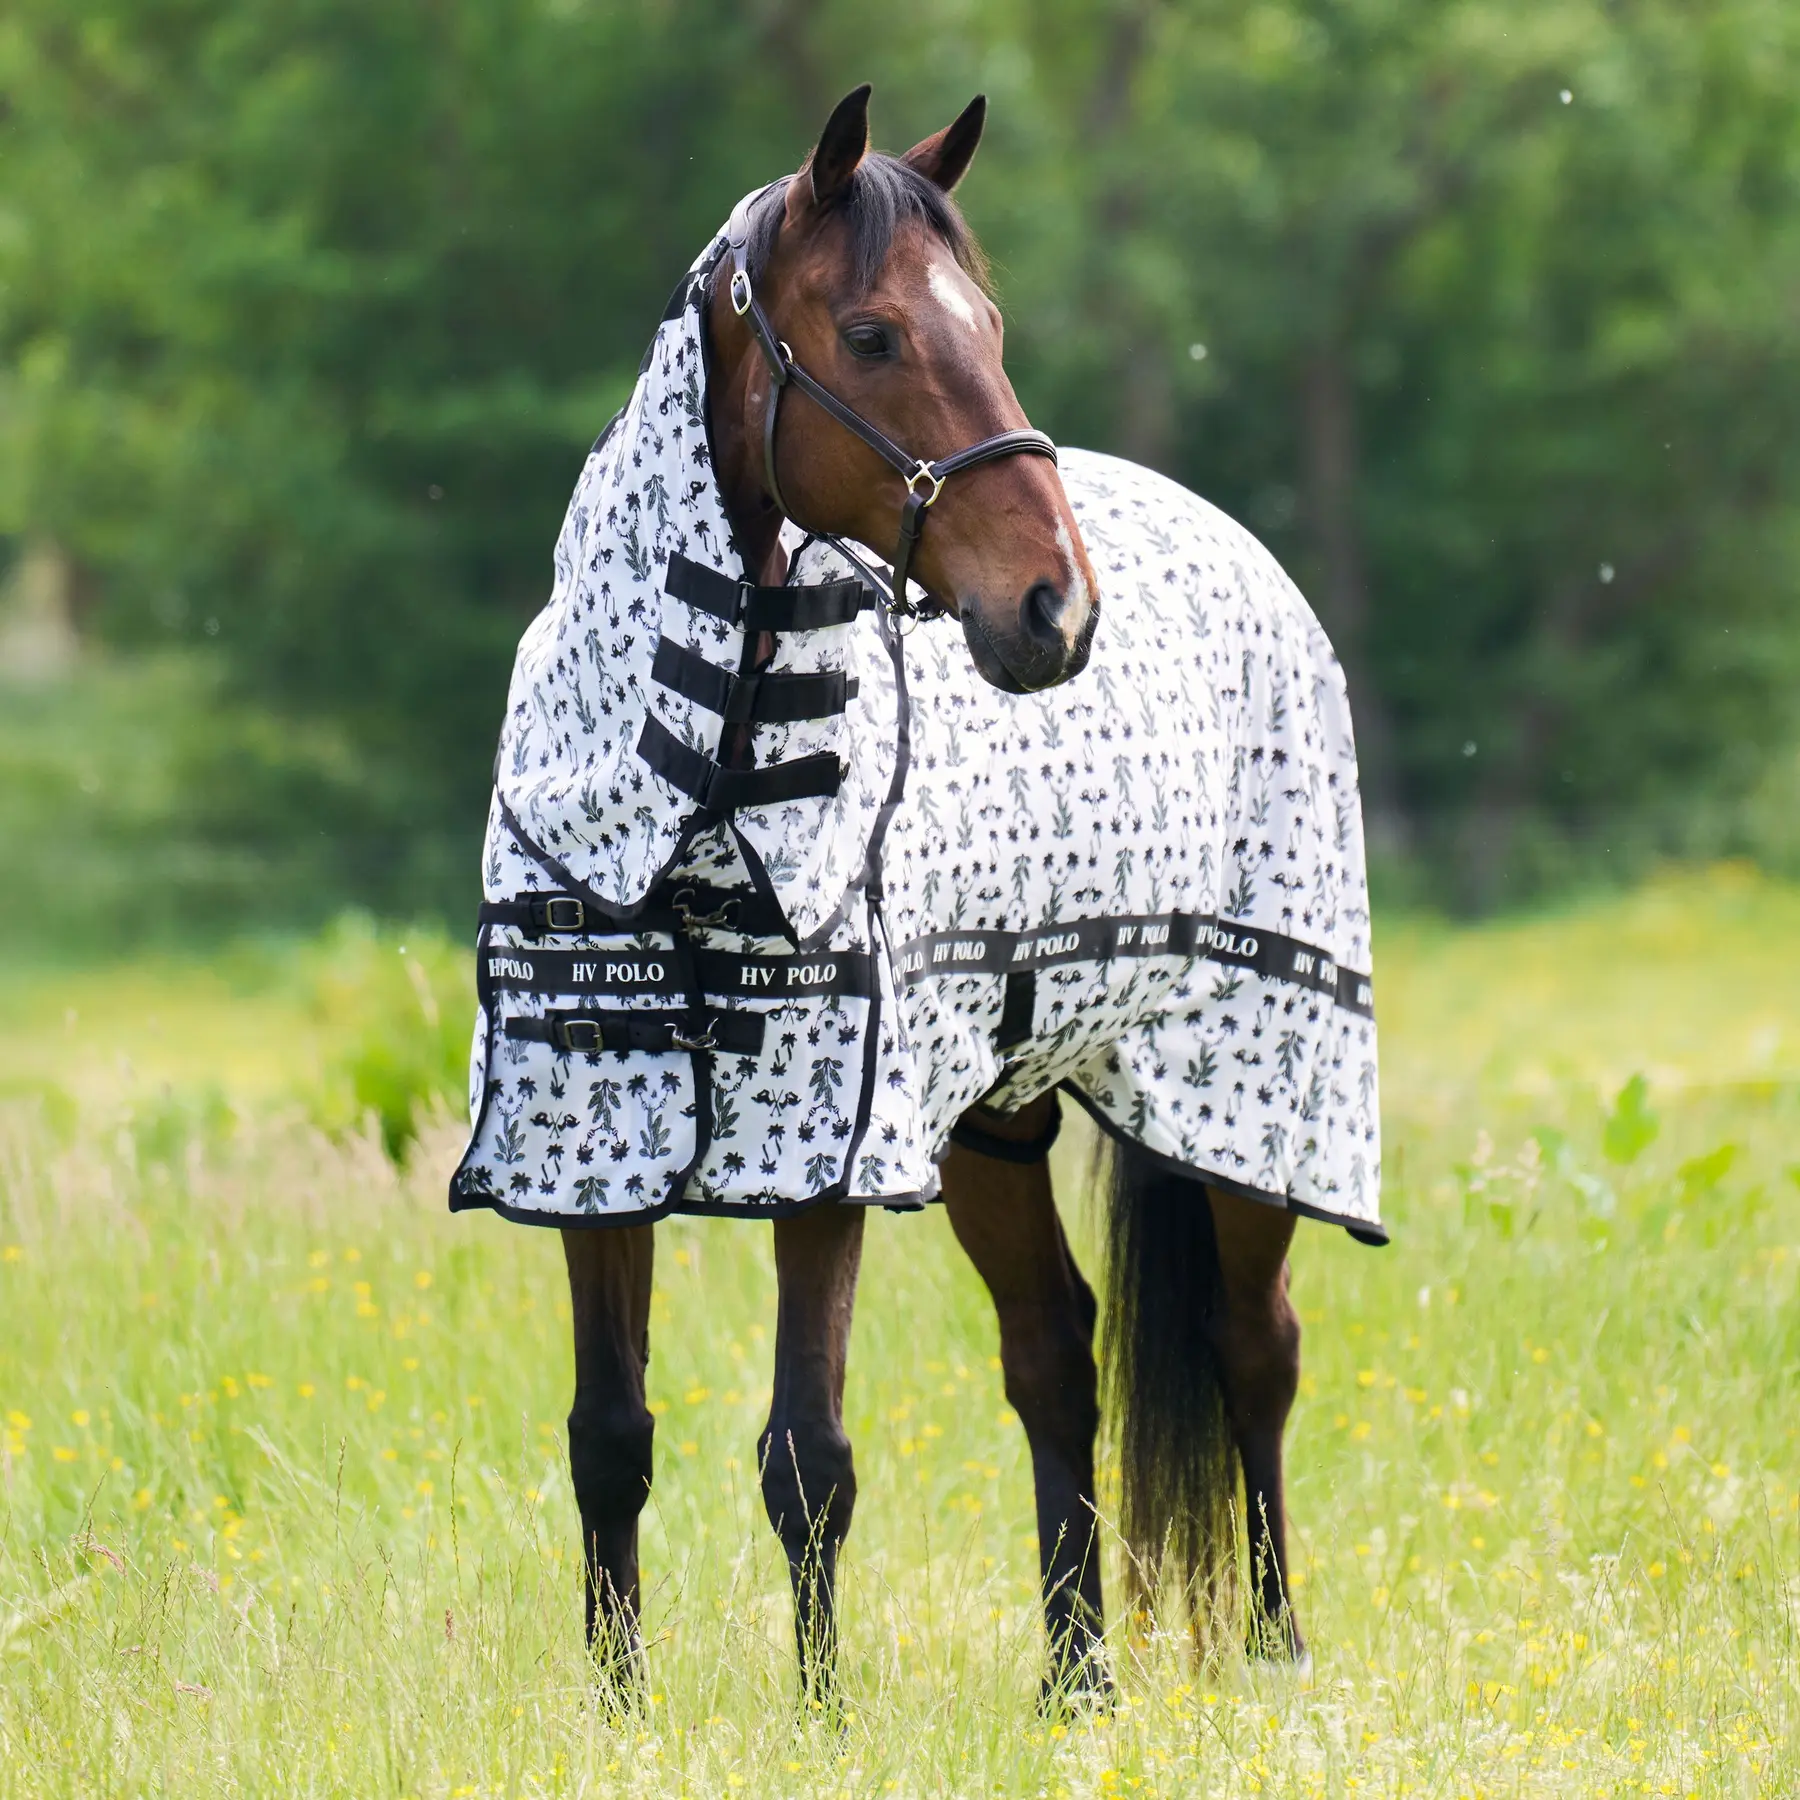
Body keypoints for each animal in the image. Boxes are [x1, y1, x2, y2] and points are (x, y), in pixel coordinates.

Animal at [456, 83, 1383, 1708]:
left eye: (991, 321)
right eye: (876, 333)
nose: (1056, 610)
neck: (700, 806)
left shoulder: (825, 1153)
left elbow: (807, 1457)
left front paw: (822, 1717)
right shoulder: (592, 1136)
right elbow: (609, 1440)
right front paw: (620, 1710)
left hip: (1249, 1093)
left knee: (1254, 1351)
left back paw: (1274, 1653)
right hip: (993, 1125)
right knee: (1056, 1352)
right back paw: (1076, 1681)